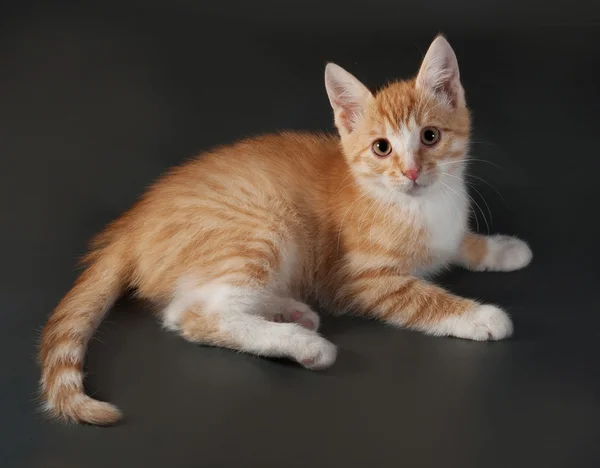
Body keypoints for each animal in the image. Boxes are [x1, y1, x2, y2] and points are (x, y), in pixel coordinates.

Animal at [39, 35, 532, 424]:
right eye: (381, 148)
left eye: (430, 136)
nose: (411, 172)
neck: (419, 205)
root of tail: (131, 223)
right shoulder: (359, 280)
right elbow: (422, 299)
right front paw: (480, 316)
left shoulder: (446, 228)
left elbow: (460, 244)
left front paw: (504, 250)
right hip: (262, 228)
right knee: (192, 314)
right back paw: (302, 344)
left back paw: (289, 311)